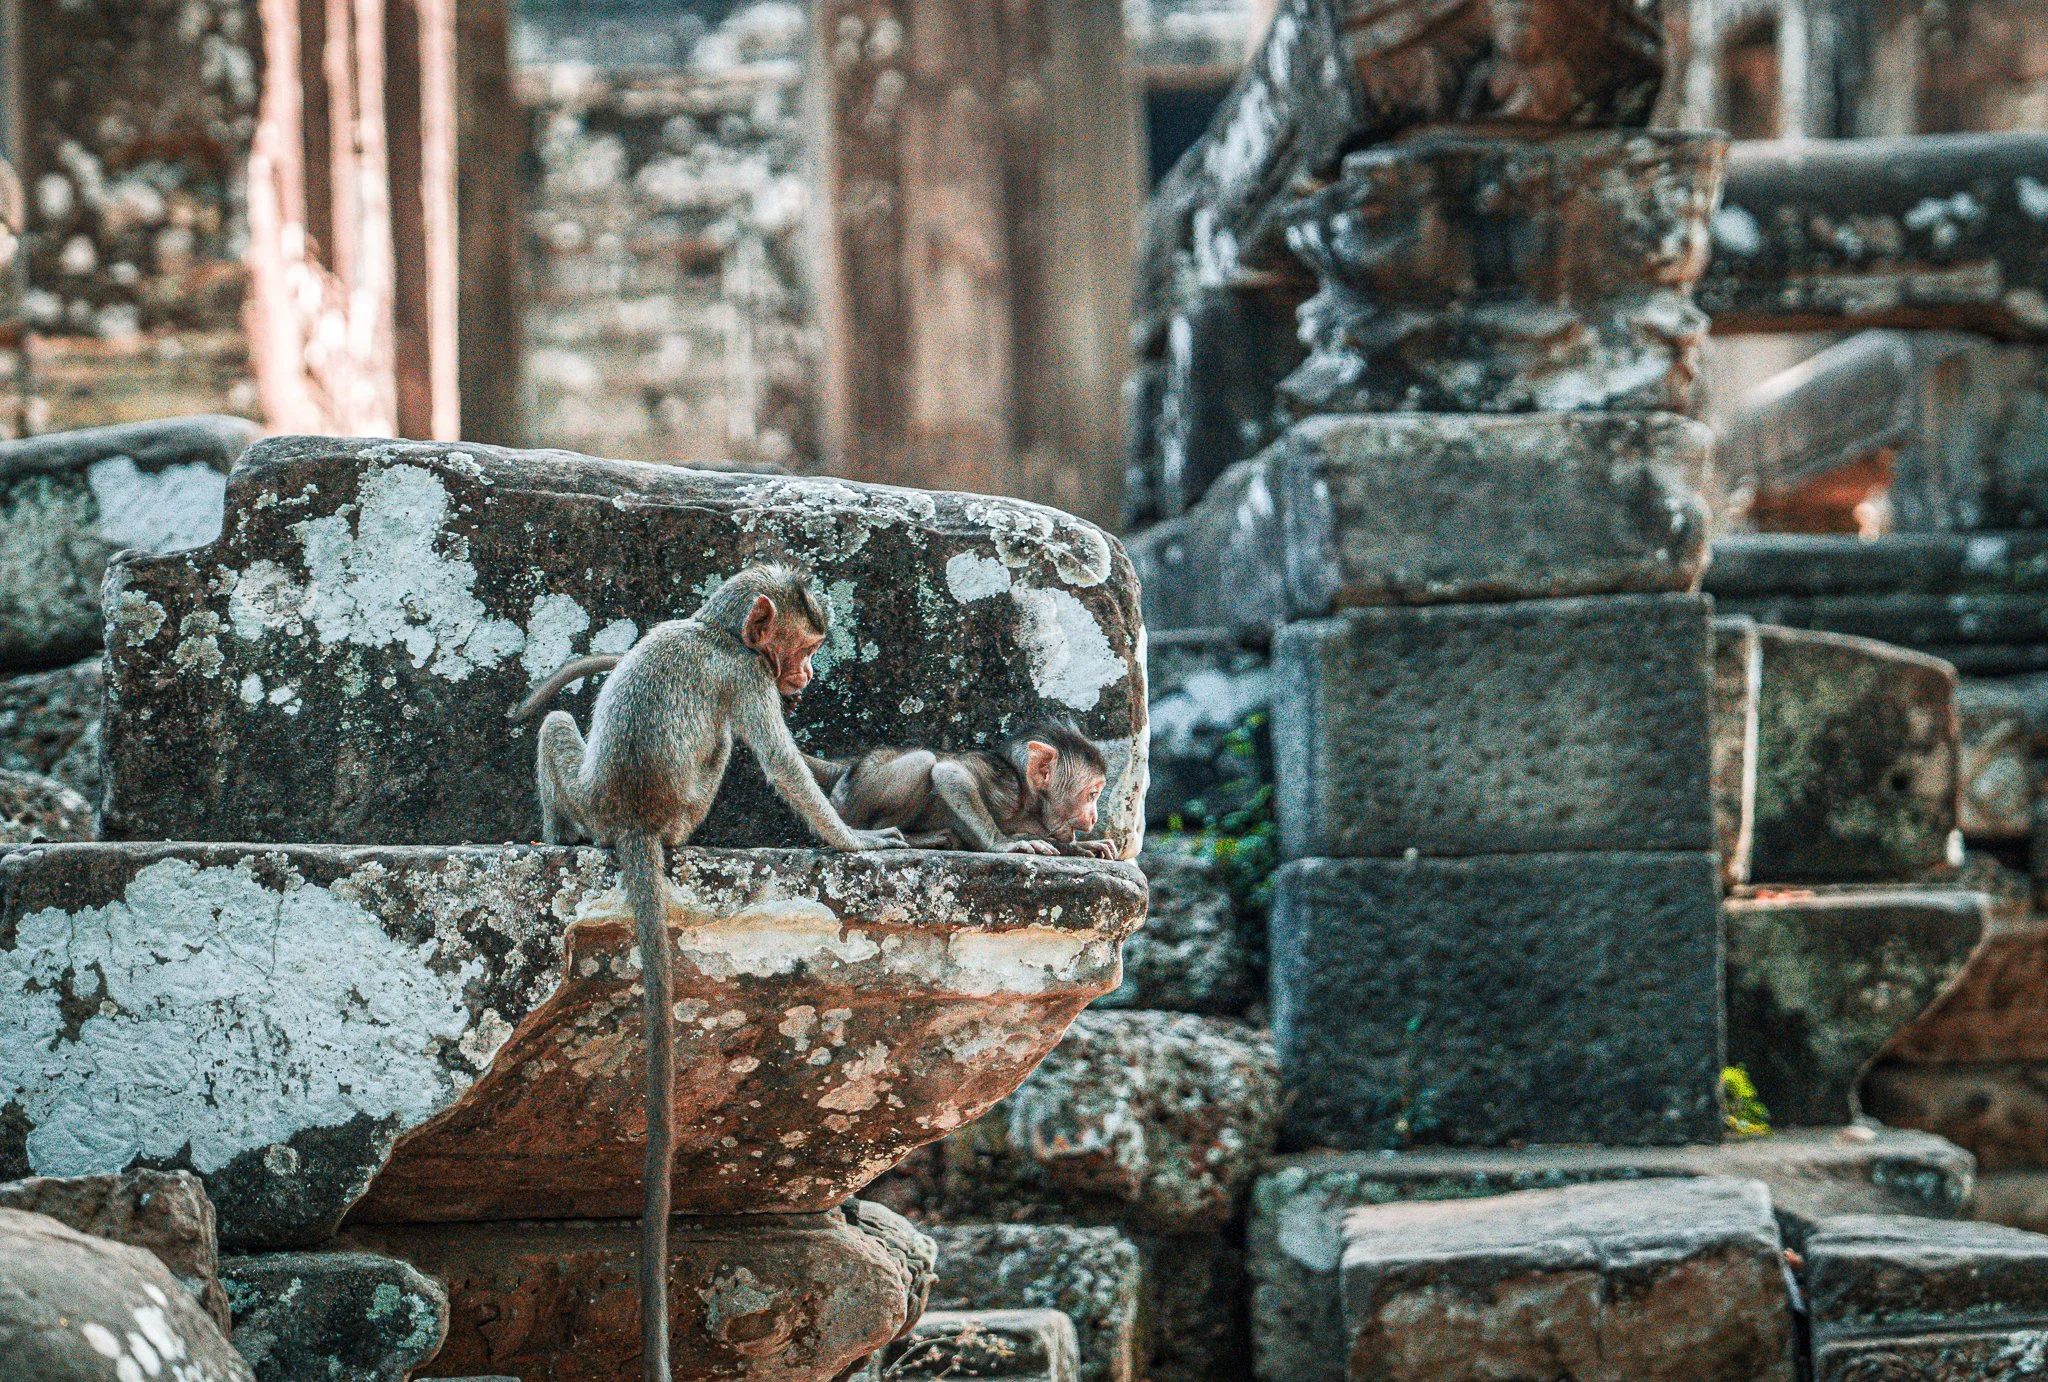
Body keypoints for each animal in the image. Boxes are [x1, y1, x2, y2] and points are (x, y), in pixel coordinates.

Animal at [509, 565, 906, 1382]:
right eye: (805, 647)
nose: (807, 676)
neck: (711, 630)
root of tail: (631, 820)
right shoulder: (749, 680)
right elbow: (782, 765)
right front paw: (855, 840)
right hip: (691, 801)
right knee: (722, 746)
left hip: (586, 793)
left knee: (558, 728)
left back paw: (556, 836)